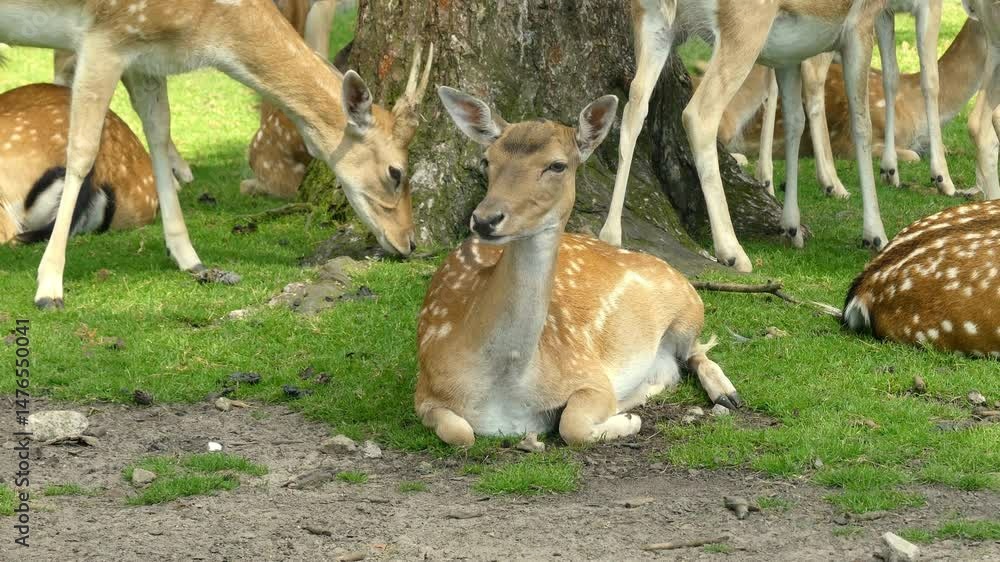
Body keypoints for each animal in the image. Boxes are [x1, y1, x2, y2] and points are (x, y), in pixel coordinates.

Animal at [416, 87, 742, 447]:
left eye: (557, 165)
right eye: (487, 159)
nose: (485, 219)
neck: (505, 388)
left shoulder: (588, 373)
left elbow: (572, 425)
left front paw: (629, 420)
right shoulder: (426, 388)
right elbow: (461, 432)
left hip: (690, 310)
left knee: (696, 350)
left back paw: (726, 394)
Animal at [601, 0, 891, 273]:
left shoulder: (790, 53)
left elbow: (795, 120)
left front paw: (791, 226)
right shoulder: (862, 21)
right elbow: (861, 124)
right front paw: (876, 235)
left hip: (652, 20)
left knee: (634, 104)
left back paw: (611, 234)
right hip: (744, 26)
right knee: (699, 114)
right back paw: (732, 252)